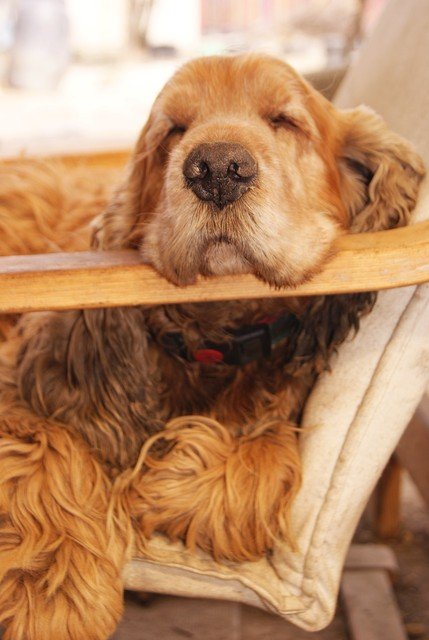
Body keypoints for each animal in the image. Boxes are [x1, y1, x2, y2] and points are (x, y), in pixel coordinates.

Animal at [0, 54, 424, 640]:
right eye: (173, 130)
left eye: (284, 121)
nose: (217, 169)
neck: (214, 337)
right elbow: (48, 438)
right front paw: (45, 589)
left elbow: (258, 456)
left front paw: (163, 483)